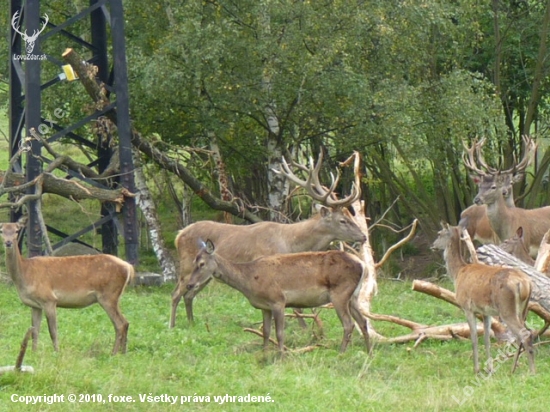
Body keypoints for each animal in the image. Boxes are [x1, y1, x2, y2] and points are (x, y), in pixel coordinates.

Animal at [0, 219, 134, 354]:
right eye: (2, 230)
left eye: (16, 231)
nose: (8, 242)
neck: (25, 274)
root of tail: (128, 267)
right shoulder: (35, 305)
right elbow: (34, 331)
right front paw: (33, 353)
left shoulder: (49, 299)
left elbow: (53, 331)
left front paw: (56, 352)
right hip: (113, 297)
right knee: (125, 322)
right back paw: (123, 353)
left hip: (108, 295)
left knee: (120, 324)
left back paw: (113, 353)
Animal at [188, 240, 374, 352]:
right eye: (194, 261)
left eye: (201, 264)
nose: (189, 284)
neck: (249, 281)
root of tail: (362, 264)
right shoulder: (264, 307)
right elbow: (266, 332)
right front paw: (264, 353)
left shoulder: (278, 300)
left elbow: (279, 333)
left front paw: (280, 356)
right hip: (353, 296)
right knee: (363, 321)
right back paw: (369, 352)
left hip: (340, 293)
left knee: (349, 324)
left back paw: (341, 352)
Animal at [434, 224, 536, 374]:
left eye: (439, 233)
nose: (433, 245)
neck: (458, 273)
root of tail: (525, 283)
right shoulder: (486, 312)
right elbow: (487, 339)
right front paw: (489, 368)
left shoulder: (467, 307)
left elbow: (474, 338)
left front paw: (476, 369)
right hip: (523, 308)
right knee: (525, 333)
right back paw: (513, 368)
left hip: (506, 308)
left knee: (524, 334)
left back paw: (531, 371)